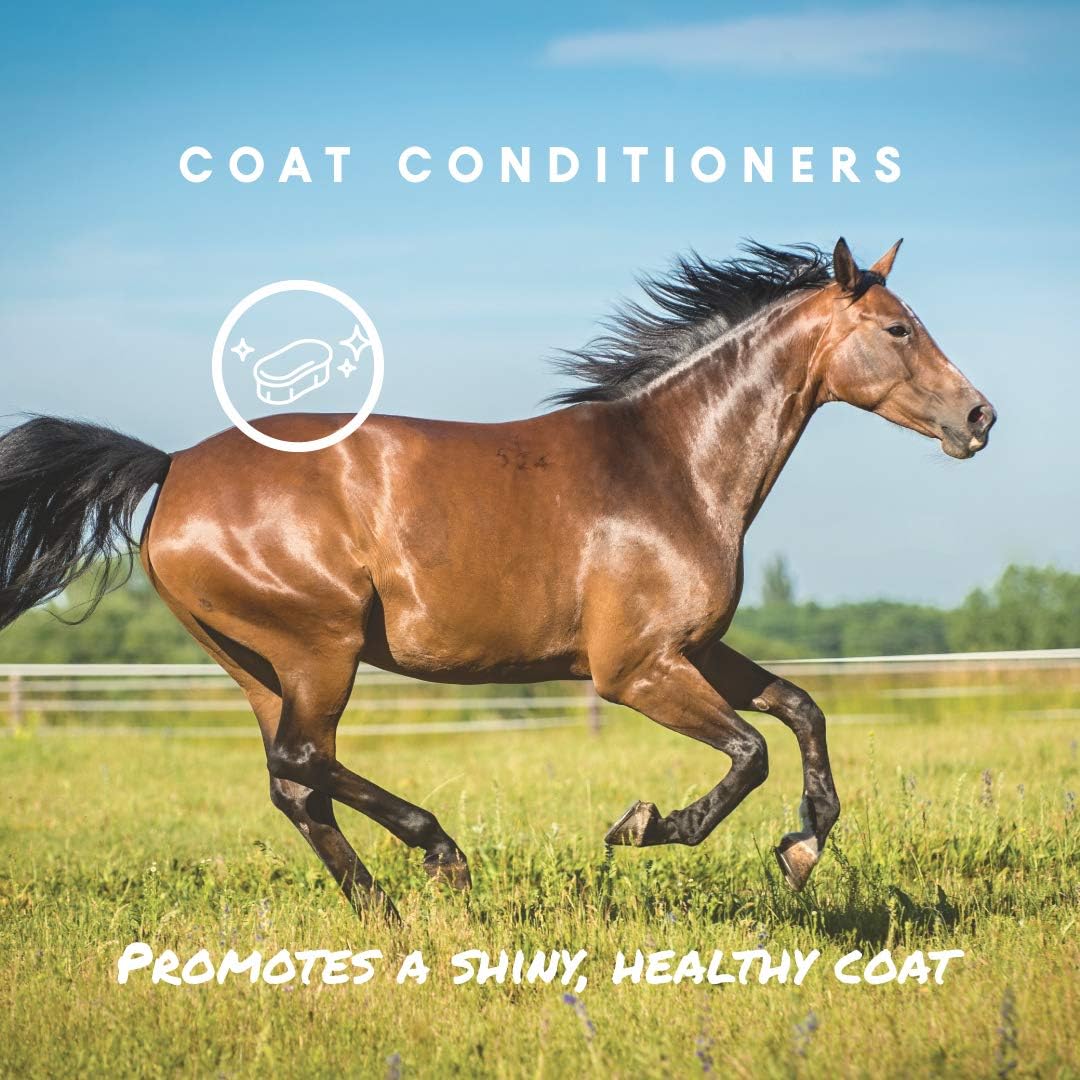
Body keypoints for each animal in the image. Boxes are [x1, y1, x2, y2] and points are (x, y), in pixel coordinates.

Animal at [0, 238, 996, 918]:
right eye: (899, 328)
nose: (980, 417)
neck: (672, 466)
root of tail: (169, 467)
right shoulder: (634, 670)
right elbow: (750, 752)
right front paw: (647, 825)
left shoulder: (694, 649)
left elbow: (801, 710)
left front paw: (802, 846)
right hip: (318, 648)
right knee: (304, 762)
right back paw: (439, 855)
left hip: (254, 663)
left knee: (293, 783)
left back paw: (383, 913)